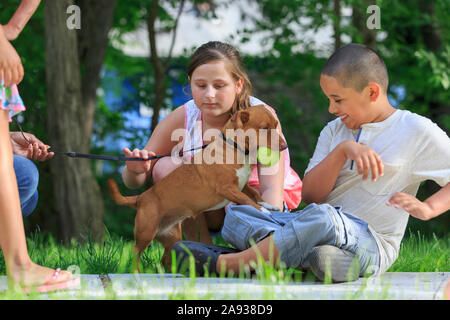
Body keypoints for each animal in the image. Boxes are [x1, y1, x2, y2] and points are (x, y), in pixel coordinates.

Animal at [107, 105, 286, 272]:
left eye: (276, 125)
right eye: (264, 128)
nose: (284, 146)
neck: (234, 148)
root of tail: (140, 198)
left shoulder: (242, 186)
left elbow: (254, 193)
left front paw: (268, 205)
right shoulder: (227, 188)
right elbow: (247, 200)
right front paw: (263, 211)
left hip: (171, 236)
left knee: (164, 258)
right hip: (146, 232)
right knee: (135, 251)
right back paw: (136, 271)